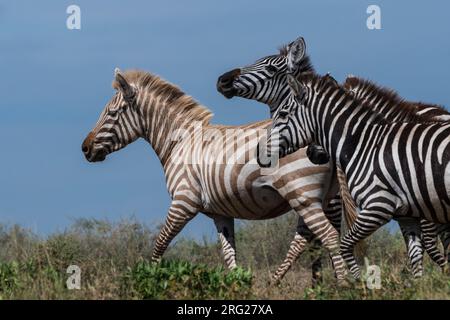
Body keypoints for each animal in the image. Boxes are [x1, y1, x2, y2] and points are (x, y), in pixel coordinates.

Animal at [81, 68, 348, 282]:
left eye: (112, 113)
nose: (85, 148)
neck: (180, 141)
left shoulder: (183, 202)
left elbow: (159, 245)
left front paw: (147, 280)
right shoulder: (221, 213)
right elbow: (230, 255)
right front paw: (238, 286)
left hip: (301, 192)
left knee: (328, 237)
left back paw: (343, 285)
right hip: (313, 198)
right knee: (307, 240)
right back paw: (287, 283)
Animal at [217, 36, 446, 276]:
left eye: (270, 68)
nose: (223, 80)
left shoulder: (334, 200)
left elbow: (324, 240)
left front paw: (340, 279)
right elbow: (314, 243)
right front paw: (321, 280)